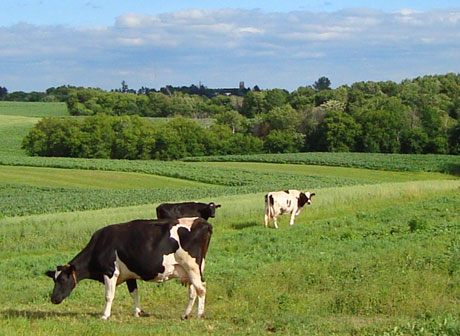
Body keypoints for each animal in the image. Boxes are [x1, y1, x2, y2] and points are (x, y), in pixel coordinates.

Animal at [44, 218, 213, 320]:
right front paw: (137, 312)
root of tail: (201, 221)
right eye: (54, 279)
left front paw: (105, 315)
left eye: (63, 279)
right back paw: (185, 315)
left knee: (201, 288)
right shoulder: (129, 275)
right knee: (193, 292)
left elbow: (109, 296)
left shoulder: (110, 272)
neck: (101, 244)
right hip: (189, 271)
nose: (53, 299)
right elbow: (134, 293)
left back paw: (199, 314)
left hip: (192, 267)